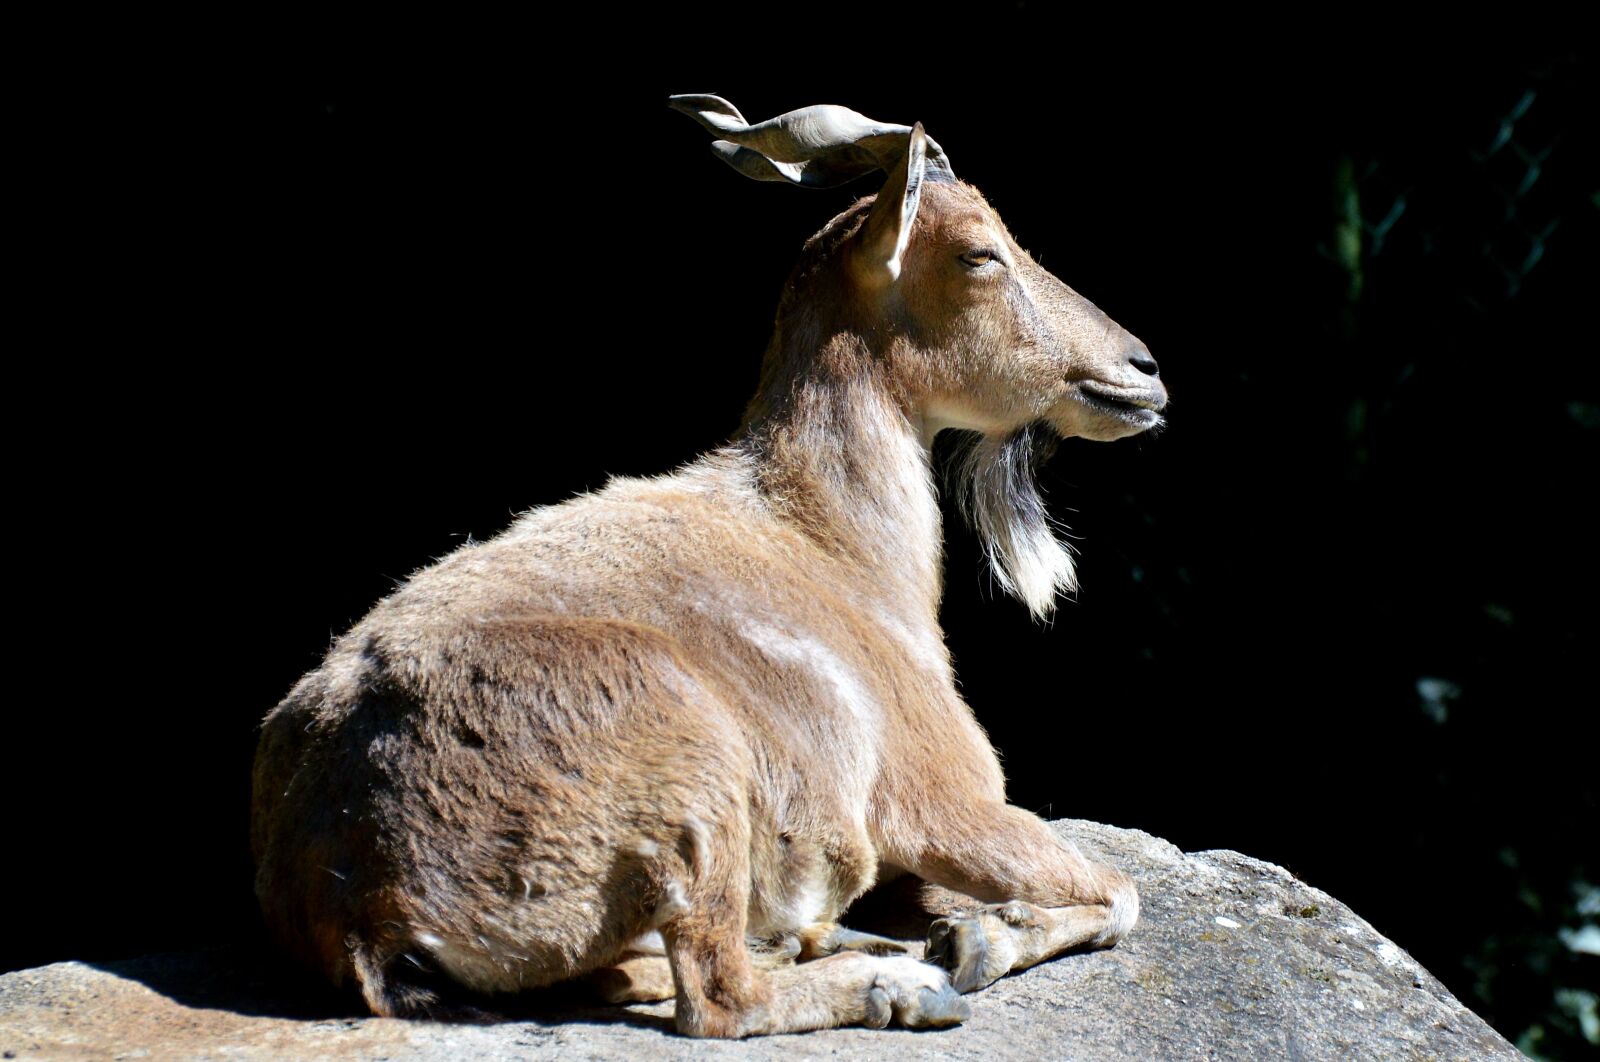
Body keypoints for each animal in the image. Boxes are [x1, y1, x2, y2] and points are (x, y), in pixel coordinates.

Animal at [251, 95, 1168, 1037]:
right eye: (980, 251)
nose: (1142, 372)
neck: (837, 543)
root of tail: (366, 894)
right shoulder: (942, 802)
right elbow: (1121, 893)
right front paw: (979, 940)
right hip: (698, 786)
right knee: (719, 994)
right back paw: (893, 980)